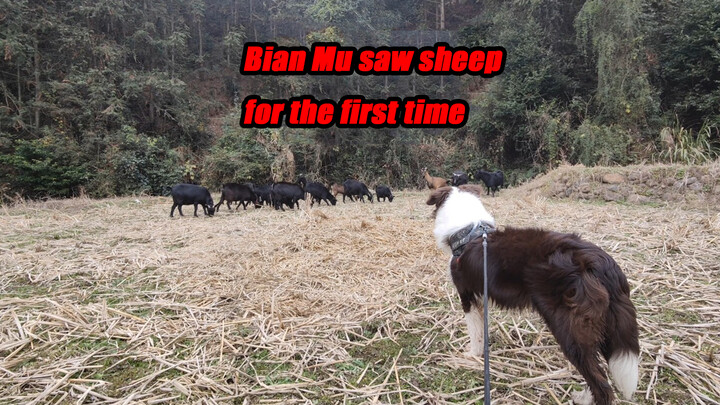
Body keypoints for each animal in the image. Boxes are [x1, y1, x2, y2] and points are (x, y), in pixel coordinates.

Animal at [424, 185, 640, 404]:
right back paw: (584, 397)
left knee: (601, 384)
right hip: (603, 327)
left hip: (570, 329)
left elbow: (475, 331)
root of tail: (602, 262)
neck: (469, 231)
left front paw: (472, 355)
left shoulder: (467, 295)